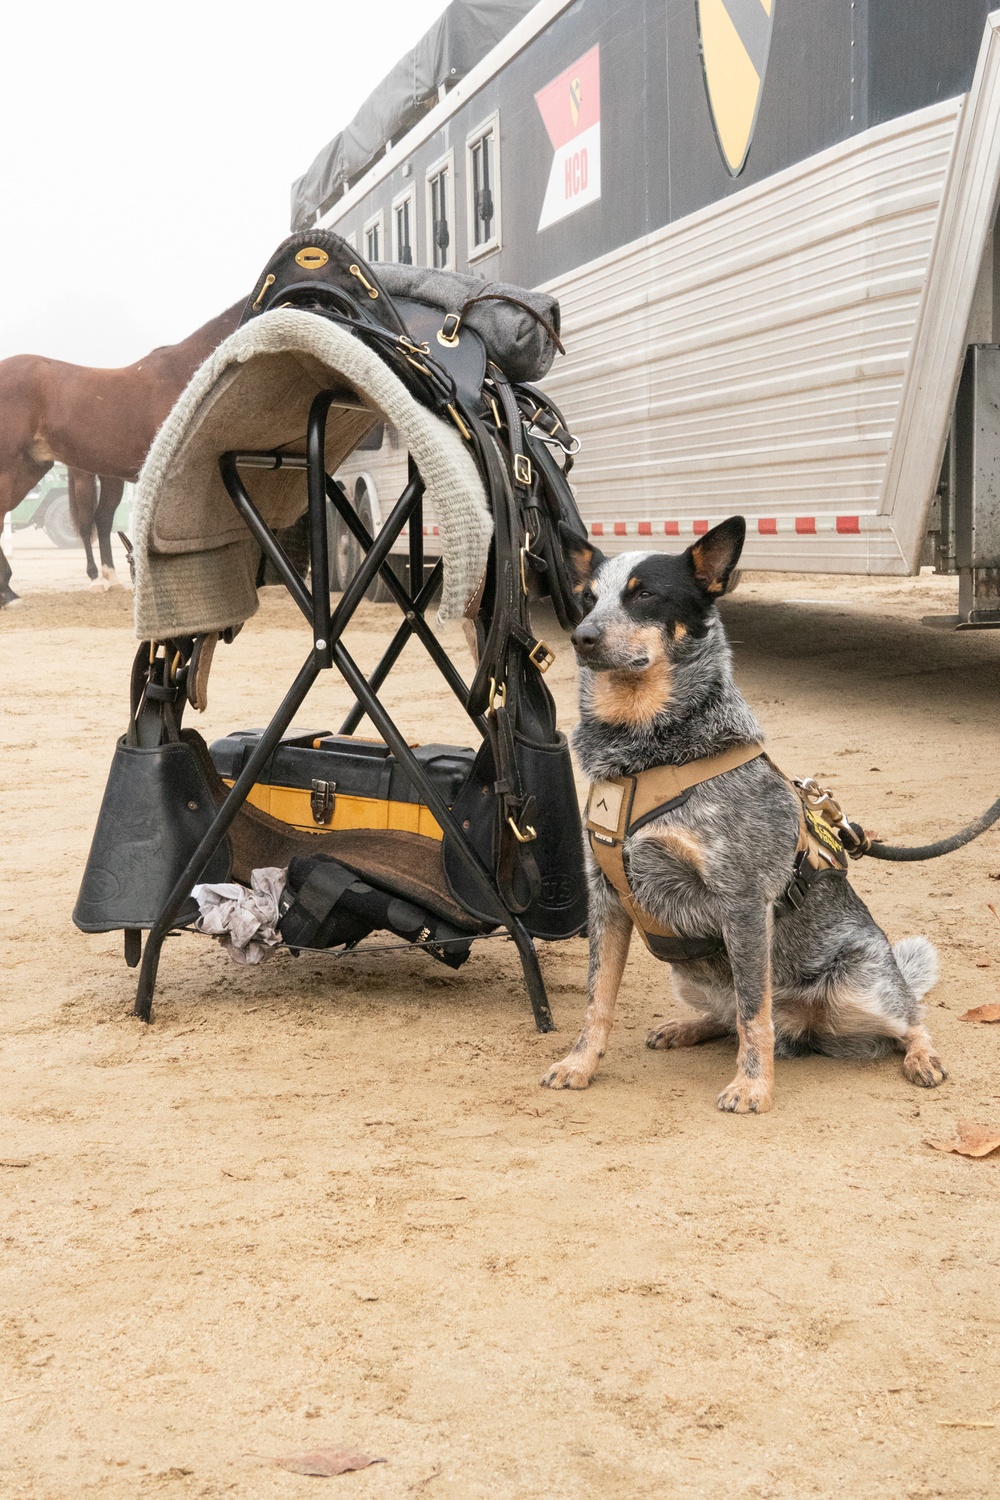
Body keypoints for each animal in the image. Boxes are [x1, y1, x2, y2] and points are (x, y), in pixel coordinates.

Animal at [542, 516, 953, 1116]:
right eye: (588, 600)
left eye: (644, 595)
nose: (581, 638)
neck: (648, 752)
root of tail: (802, 1027)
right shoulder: (607, 897)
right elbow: (598, 997)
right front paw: (579, 1064)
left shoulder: (742, 901)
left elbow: (754, 1012)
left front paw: (753, 1087)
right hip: (691, 978)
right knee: (727, 1013)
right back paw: (686, 1027)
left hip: (860, 986)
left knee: (905, 1019)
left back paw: (921, 1056)